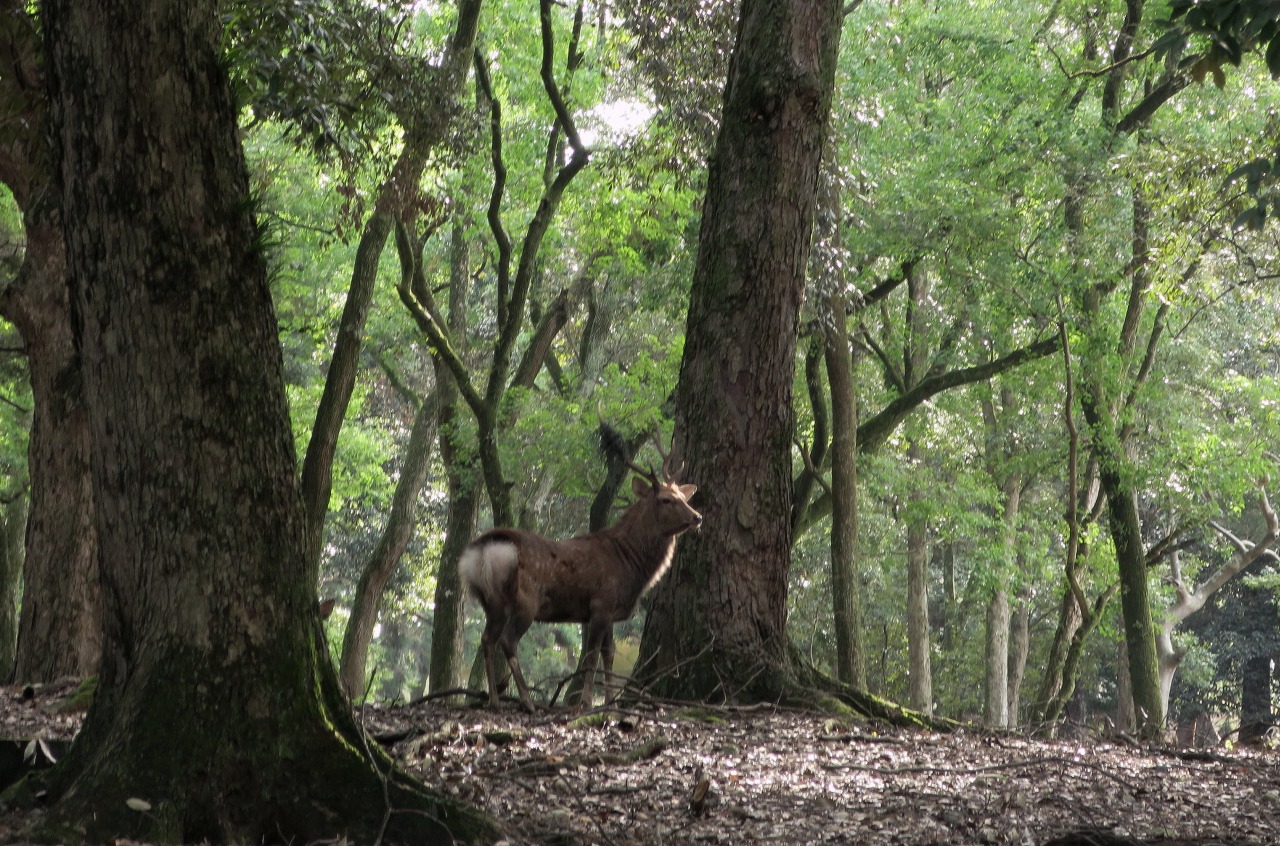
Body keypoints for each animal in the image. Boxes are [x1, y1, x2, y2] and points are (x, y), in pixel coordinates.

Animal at [460, 437, 701, 711]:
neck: (629, 563)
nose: (697, 517)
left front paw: (610, 700)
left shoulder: (609, 612)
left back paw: (493, 700)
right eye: (665, 499)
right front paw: (586, 702)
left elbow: (609, 653)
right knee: (507, 640)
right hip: (526, 598)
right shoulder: (601, 603)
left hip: (491, 601)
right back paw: (527, 701)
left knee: (487, 640)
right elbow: (591, 656)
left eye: (683, 496)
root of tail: (481, 550)